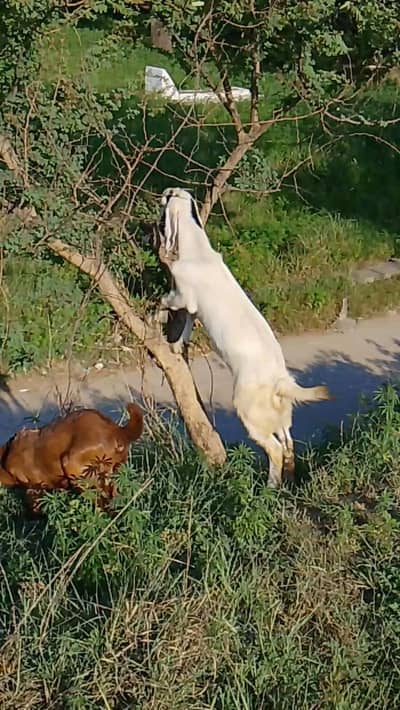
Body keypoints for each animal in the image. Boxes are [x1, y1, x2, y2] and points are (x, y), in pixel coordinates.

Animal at [157, 188, 332, 487]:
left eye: (170, 196)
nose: (162, 194)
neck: (198, 249)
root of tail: (280, 381)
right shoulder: (193, 308)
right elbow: (187, 325)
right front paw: (176, 344)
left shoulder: (183, 296)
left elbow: (167, 301)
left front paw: (157, 315)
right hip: (280, 416)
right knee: (288, 444)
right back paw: (286, 481)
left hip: (249, 412)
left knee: (275, 450)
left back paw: (269, 487)